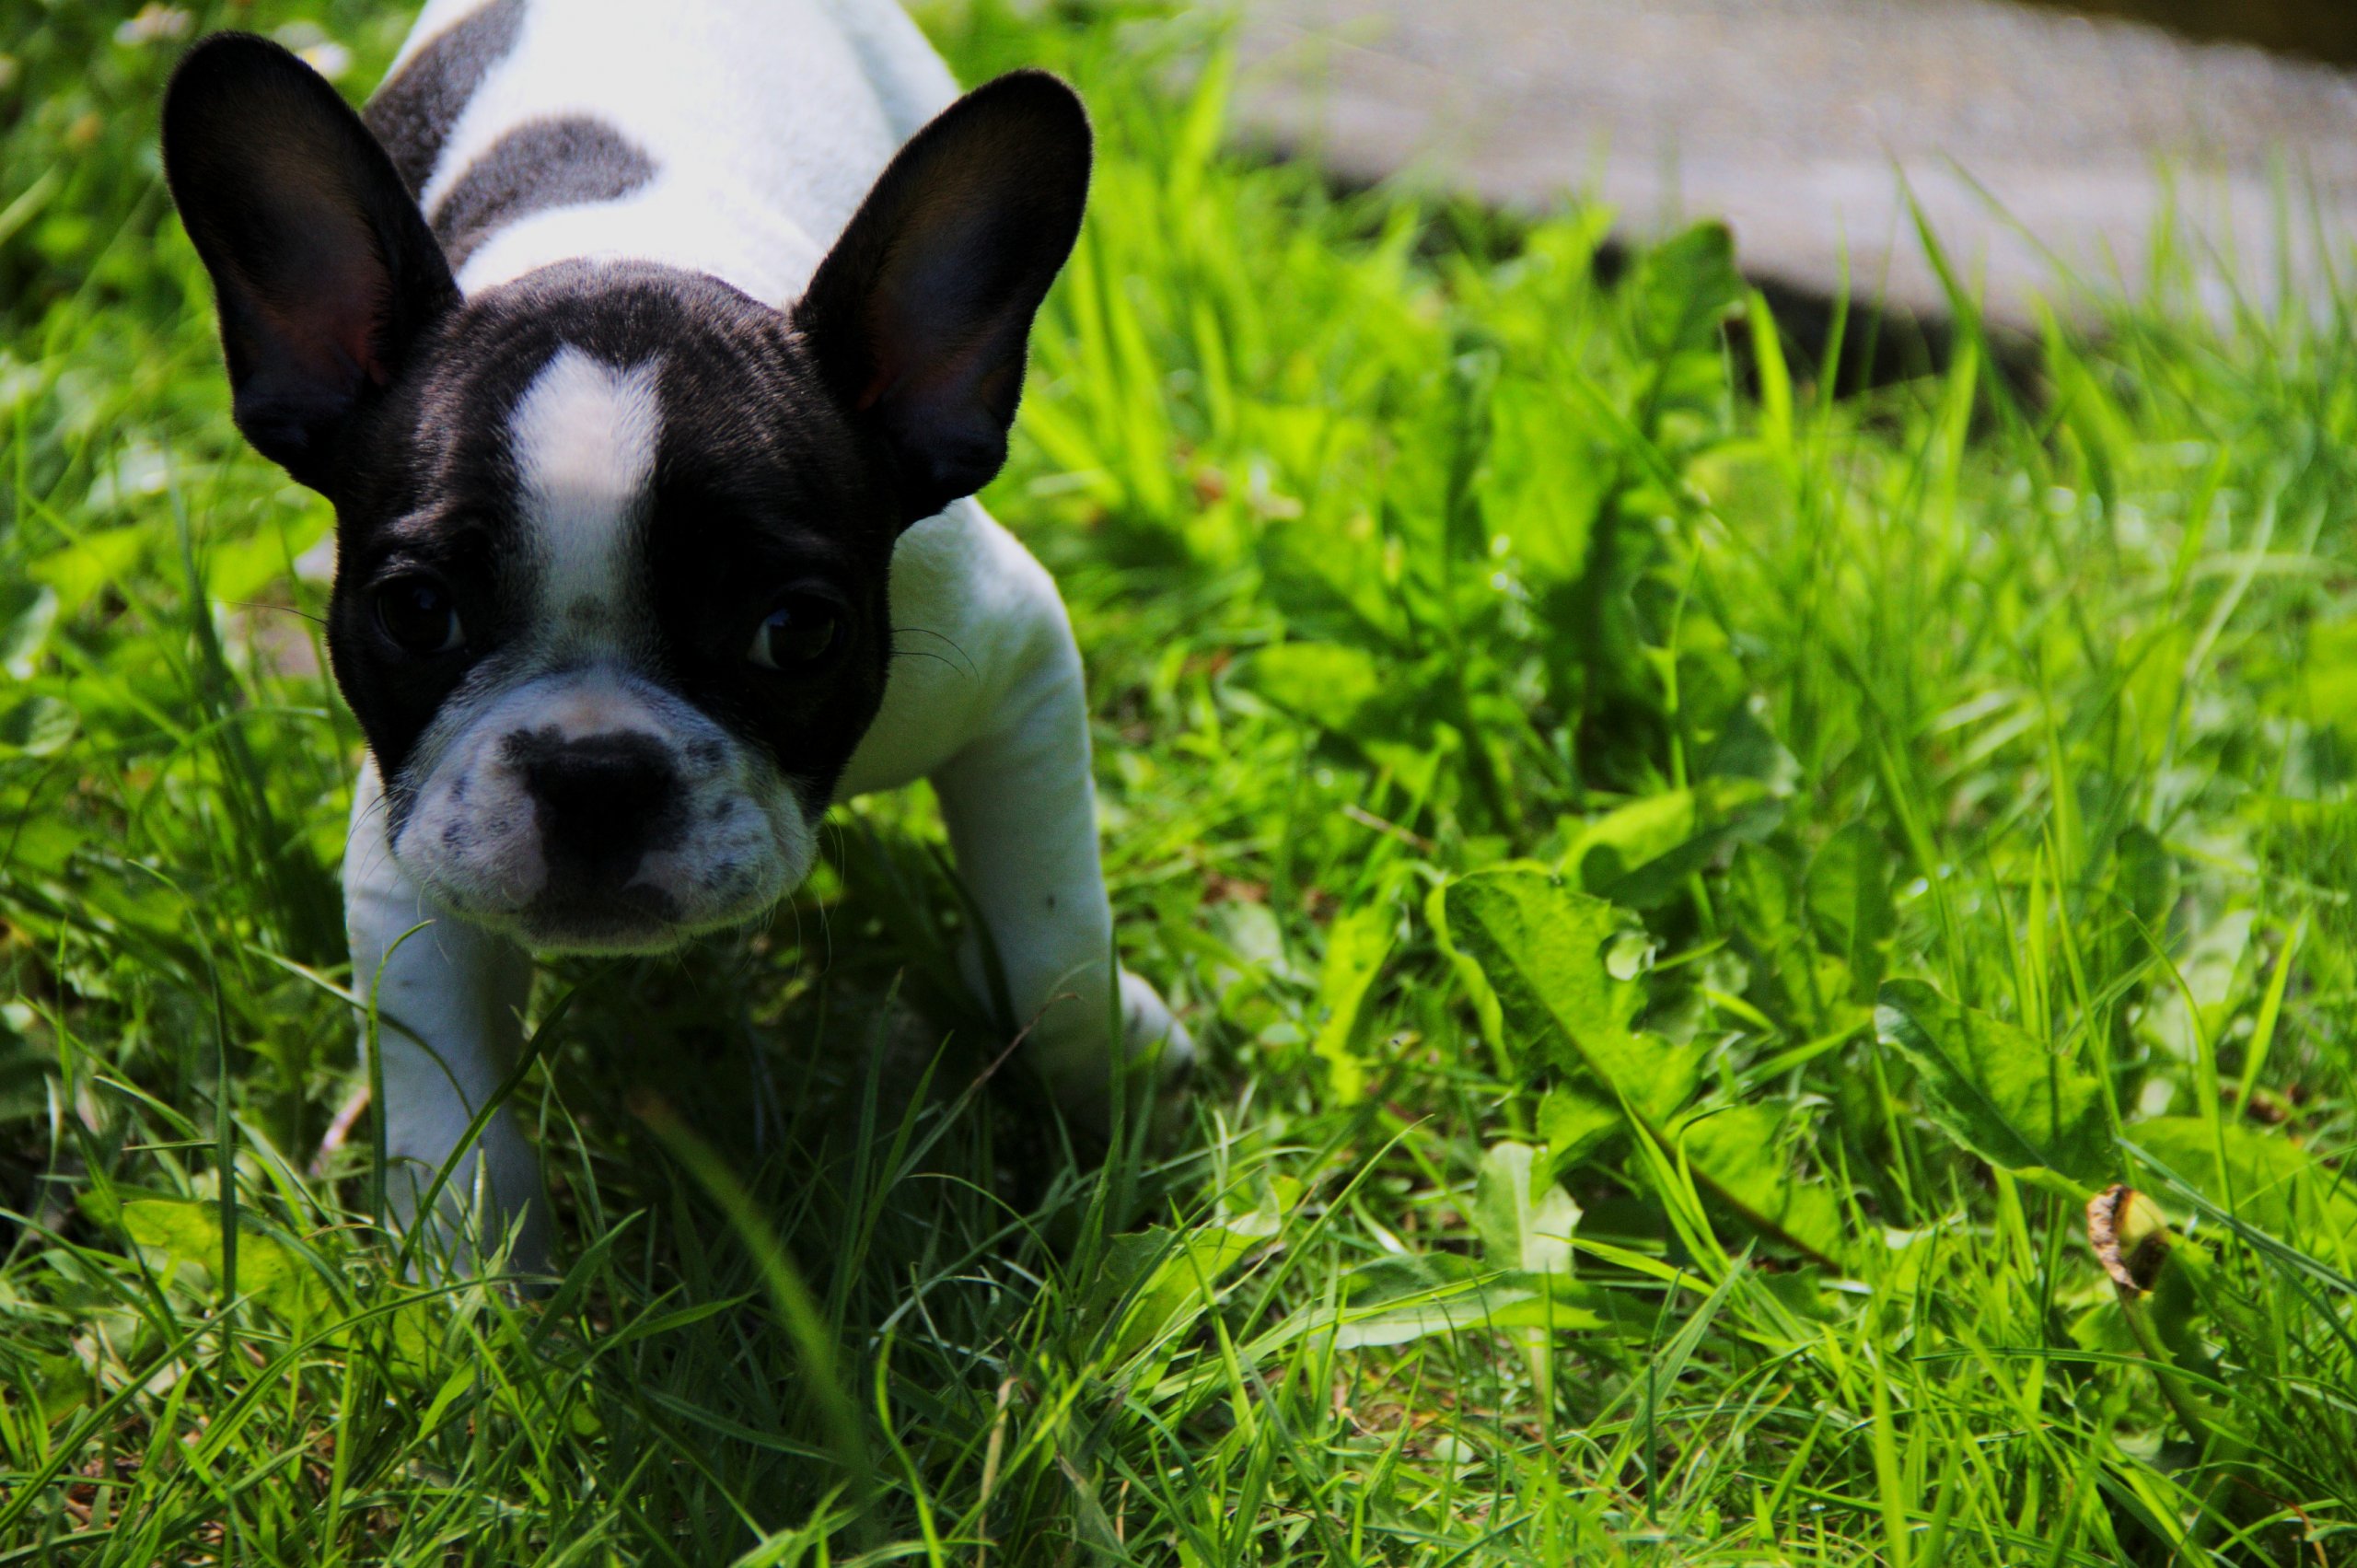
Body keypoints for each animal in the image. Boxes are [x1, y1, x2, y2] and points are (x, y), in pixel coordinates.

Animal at [163, 0, 1188, 1263]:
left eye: (797, 631)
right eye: (416, 610)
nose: (595, 771)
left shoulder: (1013, 662)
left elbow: (1053, 935)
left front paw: (1105, 1080)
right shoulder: (411, 821)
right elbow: (439, 1069)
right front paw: (471, 1263)